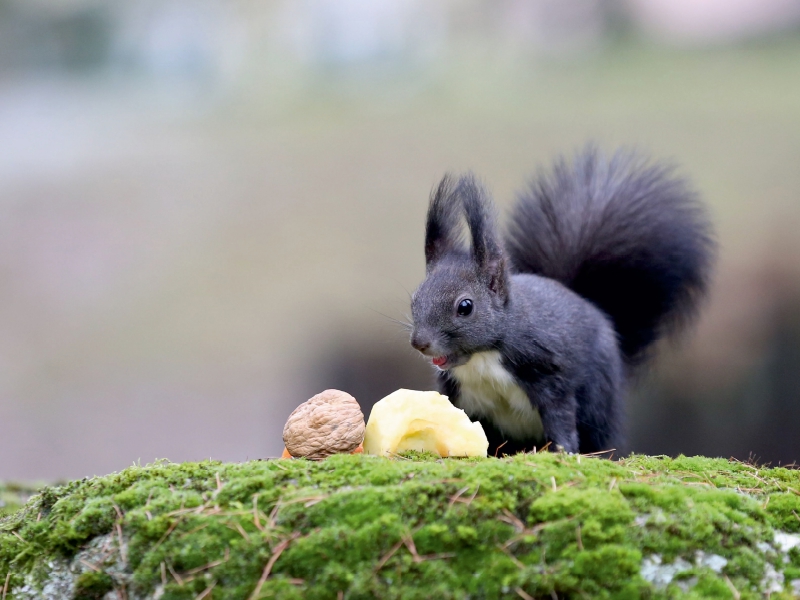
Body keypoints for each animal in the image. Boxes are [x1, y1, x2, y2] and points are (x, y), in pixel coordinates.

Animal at [410, 146, 716, 454]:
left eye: (465, 307)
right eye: (414, 298)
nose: (419, 343)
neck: (483, 357)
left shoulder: (548, 371)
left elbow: (560, 414)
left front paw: (563, 451)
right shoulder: (458, 393)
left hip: (598, 398)